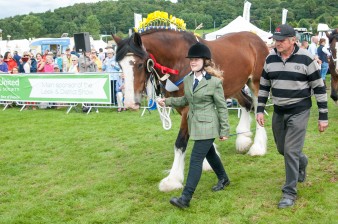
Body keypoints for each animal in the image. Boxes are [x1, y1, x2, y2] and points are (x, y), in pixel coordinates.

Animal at [113, 28, 270, 192]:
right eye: (120, 65)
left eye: (139, 64)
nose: (130, 103)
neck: (179, 61)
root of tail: (255, 38)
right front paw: (208, 162)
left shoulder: (188, 108)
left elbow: (180, 142)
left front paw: (173, 179)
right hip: (233, 86)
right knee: (247, 104)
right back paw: (243, 139)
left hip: (256, 82)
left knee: (258, 110)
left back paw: (258, 147)